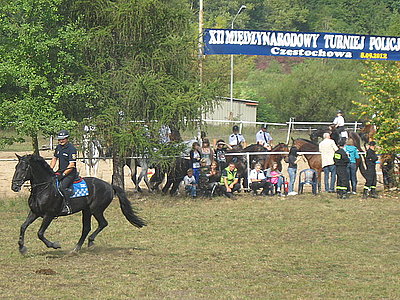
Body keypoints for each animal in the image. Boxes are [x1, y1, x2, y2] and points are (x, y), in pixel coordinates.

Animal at [11, 155, 147, 255]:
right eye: (16, 167)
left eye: (24, 169)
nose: (14, 187)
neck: (44, 188)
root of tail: (109, 185)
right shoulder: (34, 212)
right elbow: (23, 227)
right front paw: (22, 248)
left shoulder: (49, 215)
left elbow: (40, 233)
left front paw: (54, 245)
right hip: (86, 210)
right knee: (87, 228)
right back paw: (77, 248)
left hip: (95, 210)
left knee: (102, 223)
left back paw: (87, 243)